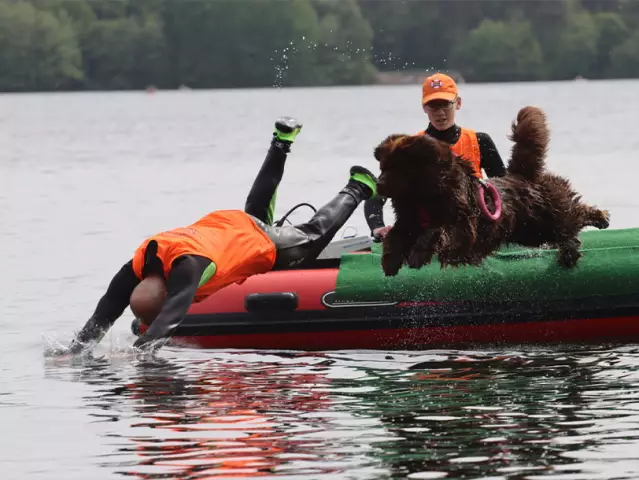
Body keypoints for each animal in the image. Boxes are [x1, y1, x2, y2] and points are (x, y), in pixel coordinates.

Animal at [376, 106, 608, 278]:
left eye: (396, 168)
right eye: (382, 167)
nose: (378, 184)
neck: (424, 196)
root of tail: (523, 175)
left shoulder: (463, 223)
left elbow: (437, 230)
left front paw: (417, 254)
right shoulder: (409, 217)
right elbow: (396, 234)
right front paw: (390, 261)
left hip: (548, 215)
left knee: (573, 215)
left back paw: (599, 218)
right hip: (532, 231)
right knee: (567, 229)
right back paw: (571, 253)